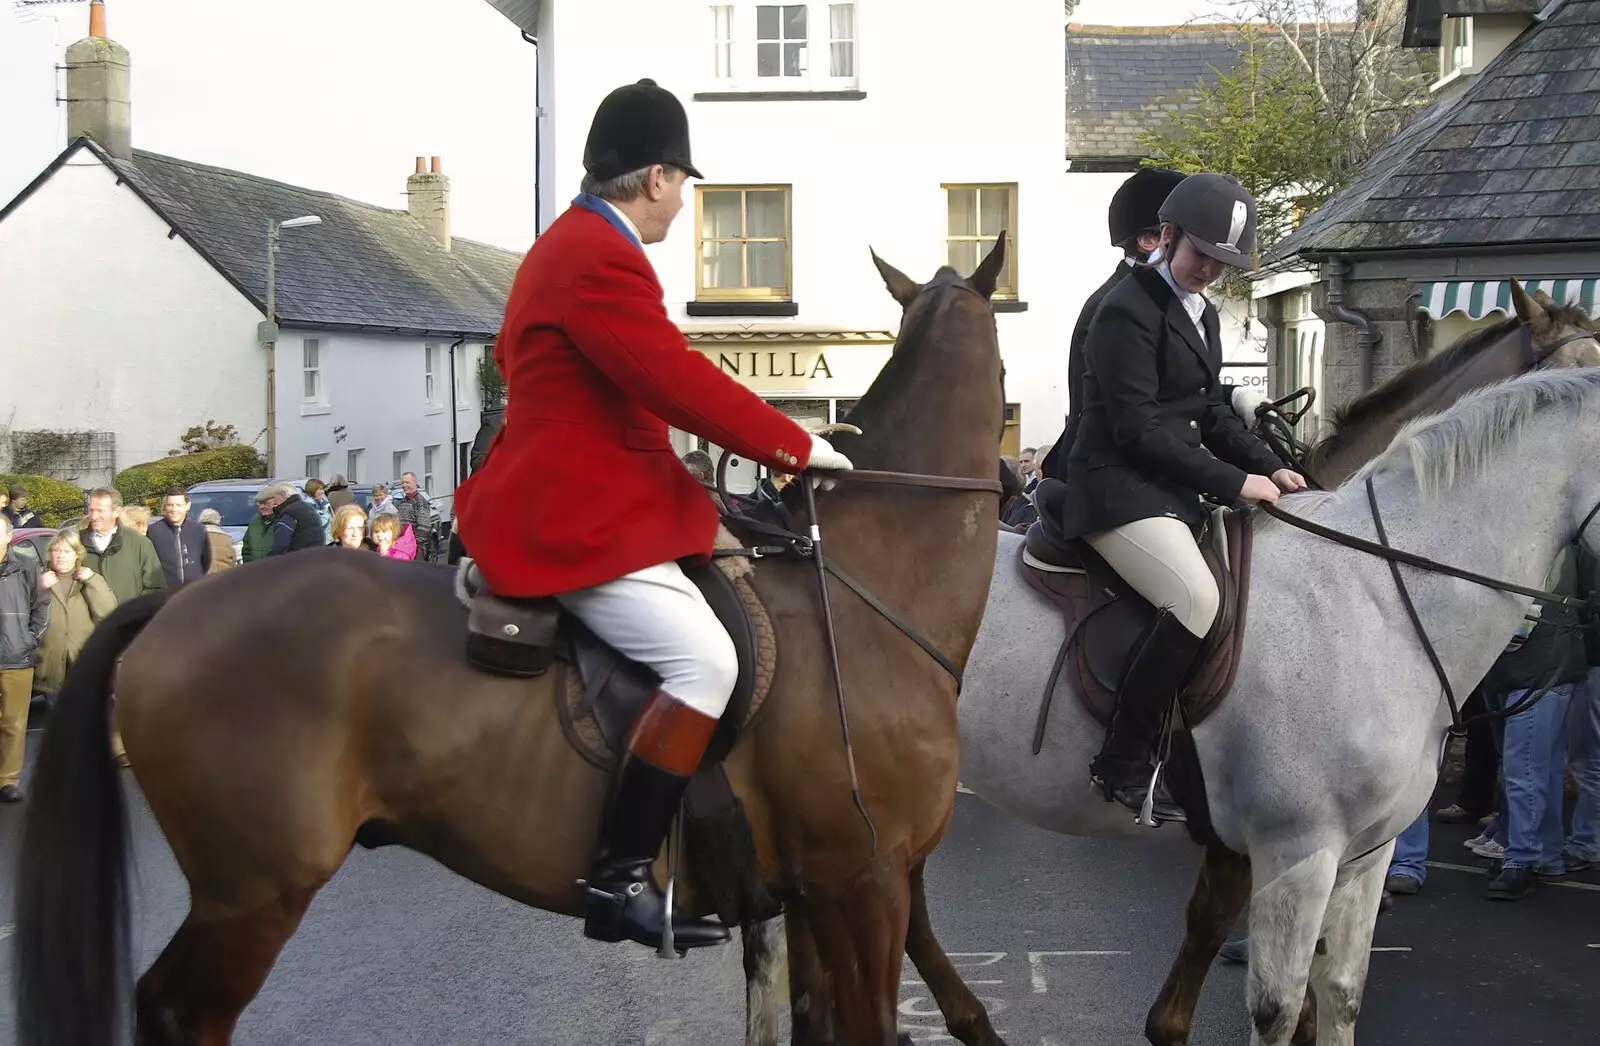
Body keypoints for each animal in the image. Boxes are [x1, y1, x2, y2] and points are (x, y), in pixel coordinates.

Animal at [12, 239, 1004, 1046]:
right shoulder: (862, 883)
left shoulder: (817, 893)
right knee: (180, 1011)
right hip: (252, 891)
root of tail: (173, 606)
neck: (869, 584)